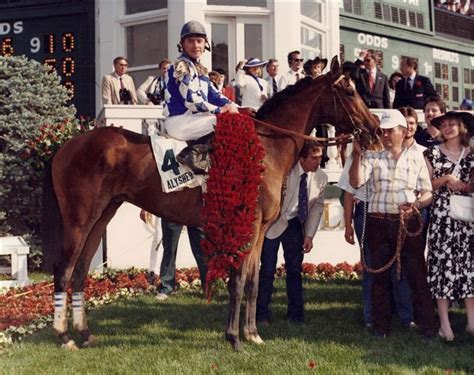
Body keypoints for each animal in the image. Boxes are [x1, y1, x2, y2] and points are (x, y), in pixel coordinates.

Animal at [42, 56, 380, 352]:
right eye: (350, 91)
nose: (375, 127)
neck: (264, 146)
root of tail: (67, 146)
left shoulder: (260, 231)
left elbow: (254, 281)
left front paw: (253, 334)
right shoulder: (246, 226)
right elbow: (238, 281)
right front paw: (234, 338)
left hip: (102, 215)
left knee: (80, 271)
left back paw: (84, 333)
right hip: (80, 219)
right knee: (63, 269)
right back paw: (64, 336)